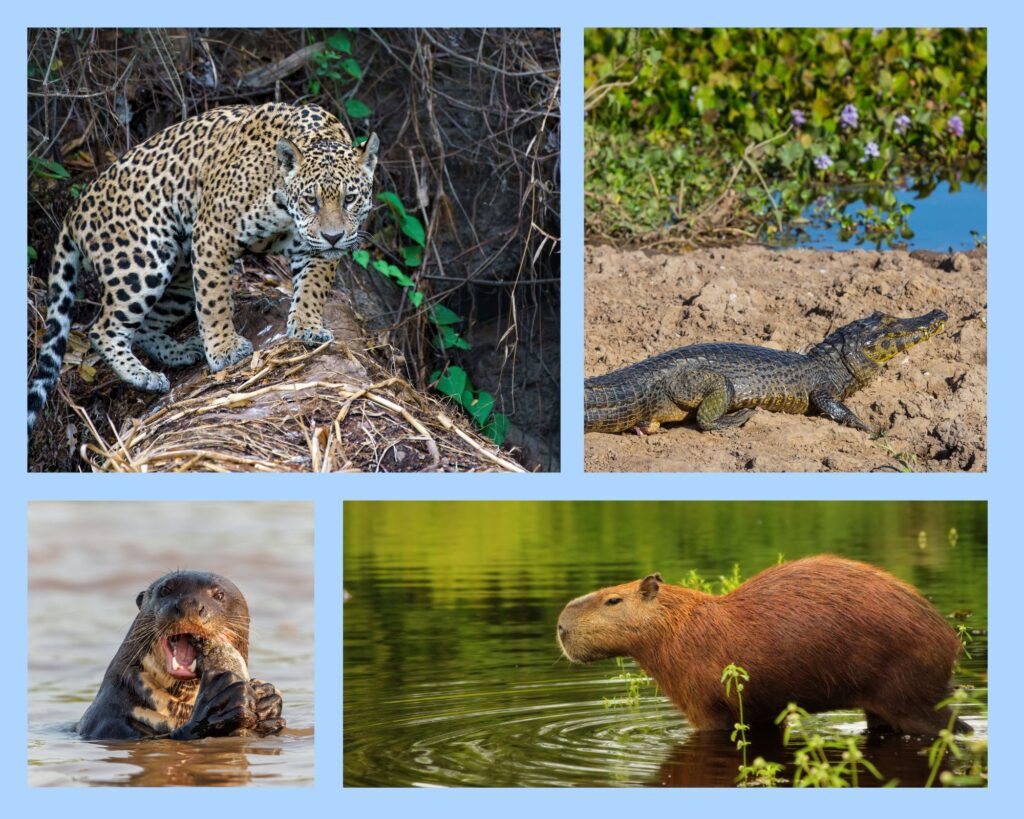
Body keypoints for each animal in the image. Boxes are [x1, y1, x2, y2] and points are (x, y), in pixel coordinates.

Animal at [28, 102, 379, 432]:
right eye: (310, 200)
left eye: (349, 199)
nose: (333, 237)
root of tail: (75, 210)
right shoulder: (213, 232)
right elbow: (214, 301)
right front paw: (225, 349)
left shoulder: (314, 248)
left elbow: (313, 287)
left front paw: (307, 325)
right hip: (142, 264)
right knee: (101, 328)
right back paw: (144, 376)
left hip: (180, 279)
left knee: (145, 326)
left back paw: (180, 352)